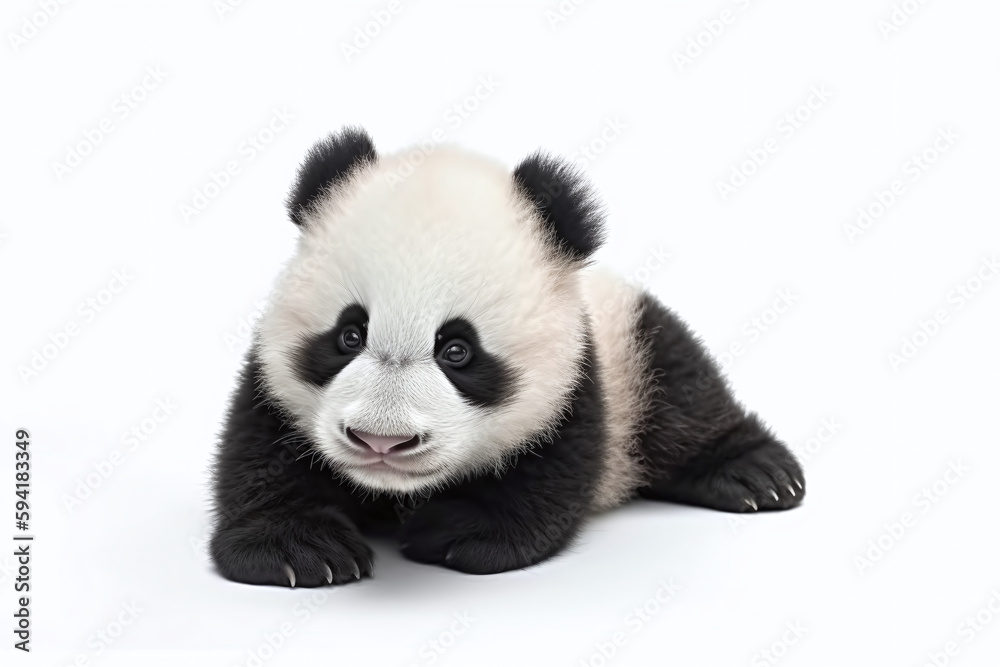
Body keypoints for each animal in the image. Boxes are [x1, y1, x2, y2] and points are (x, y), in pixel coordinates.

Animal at [210, 127, 804, 587]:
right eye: (349, 335)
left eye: (457, 350)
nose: (382, 442)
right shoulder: (272, 384)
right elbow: (260, 457)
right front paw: (303, 550)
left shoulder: (575, 376)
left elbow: (548, 472)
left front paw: (456, 531)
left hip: (632, 346)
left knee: (682, 394)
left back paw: (758, 473)